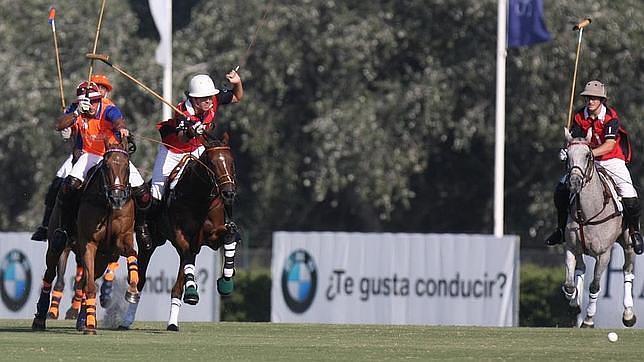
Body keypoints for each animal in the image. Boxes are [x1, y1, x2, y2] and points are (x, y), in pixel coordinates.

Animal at [32, 139, 139, 334]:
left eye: (127, 166)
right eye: (106, 166)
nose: (117, 198)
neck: (107, 205)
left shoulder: (120, 242)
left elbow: (132, 255)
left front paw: (133, 289)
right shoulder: (88, 243)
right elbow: (86, 285)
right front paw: (89, 324)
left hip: (101, 258)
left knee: (85, 280)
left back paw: (82, 318)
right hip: (57, 243)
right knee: (50, 275)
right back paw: (41, 318)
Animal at [119, 129, 240, 330]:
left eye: (231, 161)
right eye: (212, 163)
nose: (229, 193)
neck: (199, 198)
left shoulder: (212, 237)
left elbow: (229, 236)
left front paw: (226, 281)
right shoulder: (180, 237)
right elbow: (186, 256)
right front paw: (192, 292)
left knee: (177, 283)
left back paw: (173, 320)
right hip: (149, 244)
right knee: (142, 279)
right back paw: (127, 320)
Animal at [560, 128, 636, 328]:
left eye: (587, 155)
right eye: (567, 155)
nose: (574, 183)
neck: (586, 213)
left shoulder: (604, 254)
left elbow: (595, 285)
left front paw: (588, 319)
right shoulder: (571, 247)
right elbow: (569, 283)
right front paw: (573, 301)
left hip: (628, 243)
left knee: (627, 271)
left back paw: (628, 314)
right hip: (581, 249)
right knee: (581, 268)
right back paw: (575, 303)